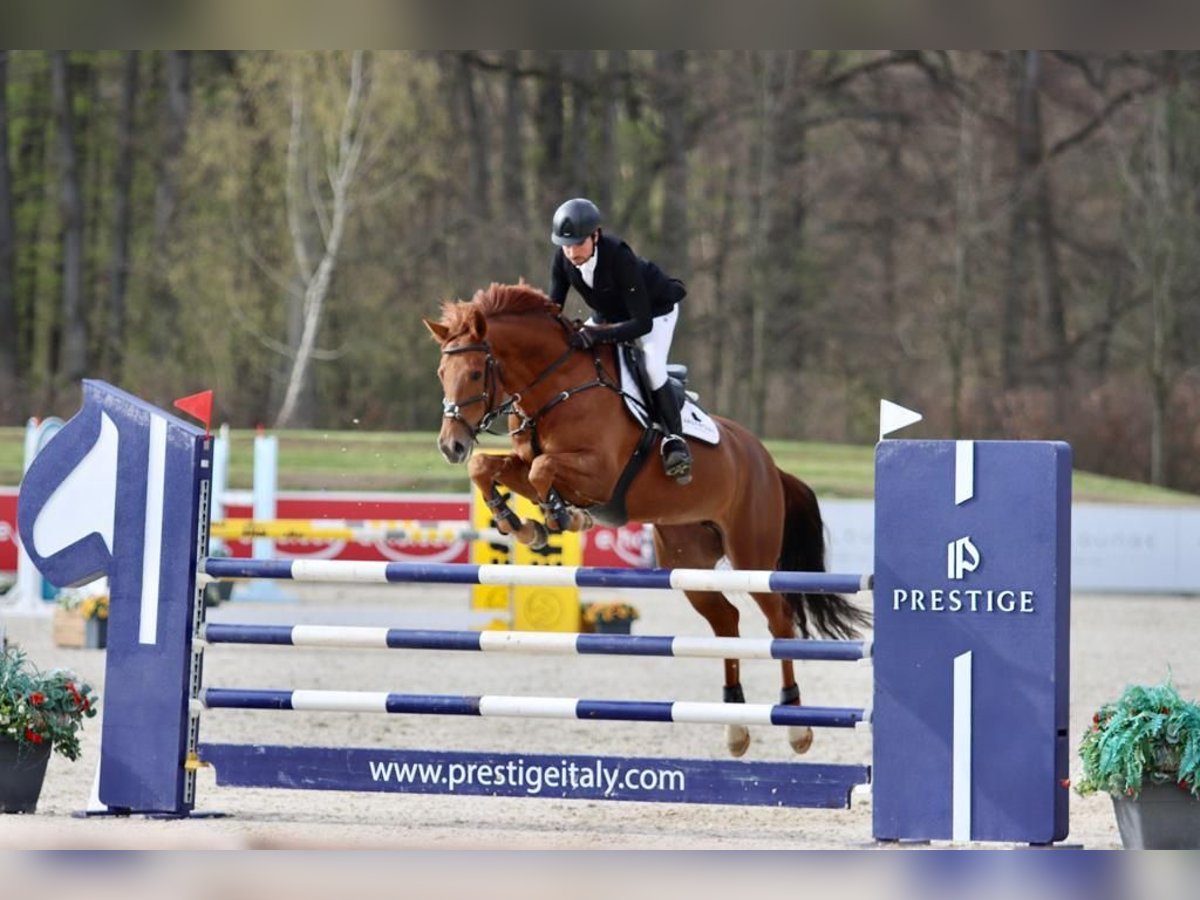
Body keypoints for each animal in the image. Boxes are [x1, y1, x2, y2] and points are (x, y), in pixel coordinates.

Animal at [427, 285, 868, 758]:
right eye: (441, 372)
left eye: (475, 373)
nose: (451, 446)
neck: (555, 386)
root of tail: (767, 462)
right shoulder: (525, 462)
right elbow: (489, 468)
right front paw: (522, 523)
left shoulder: (597, 472)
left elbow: (542, 470)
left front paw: (562, 517)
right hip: (689, 560)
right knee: (726, 621)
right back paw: (735, 726)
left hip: (753, 555)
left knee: (779, 621)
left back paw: (796, 725)